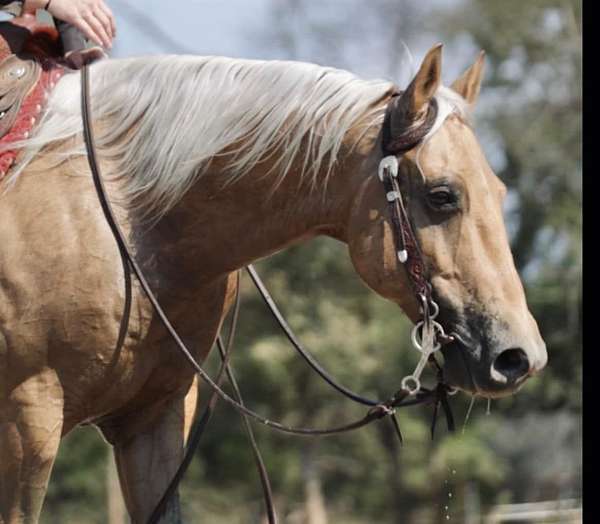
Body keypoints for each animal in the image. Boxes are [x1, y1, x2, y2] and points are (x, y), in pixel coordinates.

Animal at [0, 43, 544, 520]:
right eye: (442, 195)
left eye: (500, 192)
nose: (520, 357)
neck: (127, 218)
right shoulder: (28, 421)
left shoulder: (155, 416)